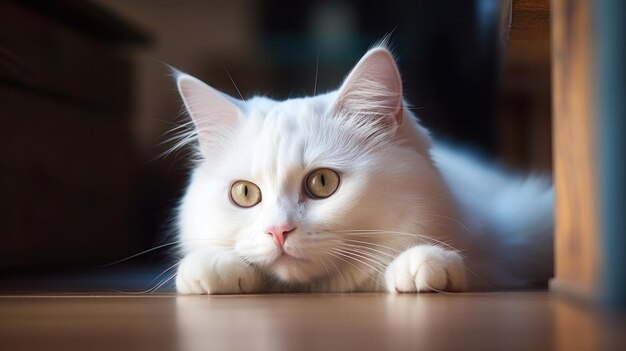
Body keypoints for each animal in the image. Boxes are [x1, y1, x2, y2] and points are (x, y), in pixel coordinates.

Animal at [171, 45, 552, 296]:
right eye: (245, 193)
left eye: (322, 182)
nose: (278, 232)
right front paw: (210, 268)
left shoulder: (504, 239)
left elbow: (474, 261)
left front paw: (424, 264)